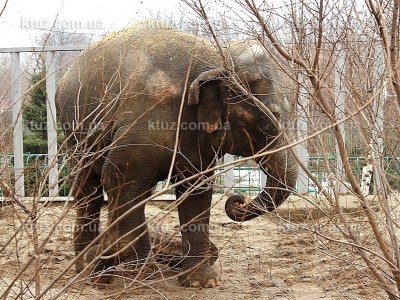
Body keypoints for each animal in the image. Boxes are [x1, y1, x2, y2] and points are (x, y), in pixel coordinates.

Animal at [55, 23, 296, 288]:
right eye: (265, 121)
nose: (238, 200)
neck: (216, 55)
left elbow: (197, 190)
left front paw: (201, 282)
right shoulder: (144, 120)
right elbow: (120, 179)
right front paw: (127, 267)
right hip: (74, 130)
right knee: (88, 189)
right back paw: (91, 270)